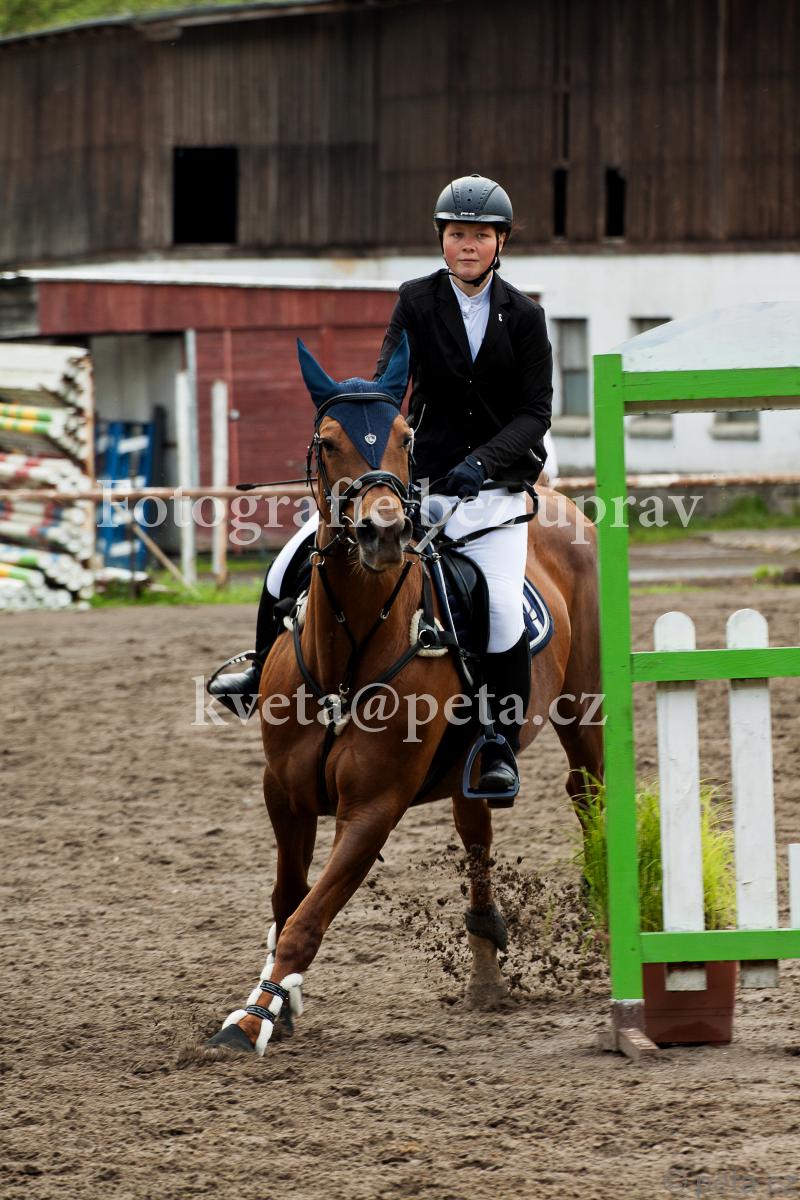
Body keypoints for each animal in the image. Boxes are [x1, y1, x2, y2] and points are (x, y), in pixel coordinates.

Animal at [207, 341, 603, 1055]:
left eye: (404, 436)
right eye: (327, 442)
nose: (383, 534)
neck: (348, 656)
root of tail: (562, 506)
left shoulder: (373, 808)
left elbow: (309, 916)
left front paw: (251, 1019)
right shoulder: (283, 792)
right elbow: (287, 899)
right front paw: (279, 999)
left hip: (582, 713)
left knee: (589, 795)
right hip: (469, 763)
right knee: (476, 827)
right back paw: (485, 964)